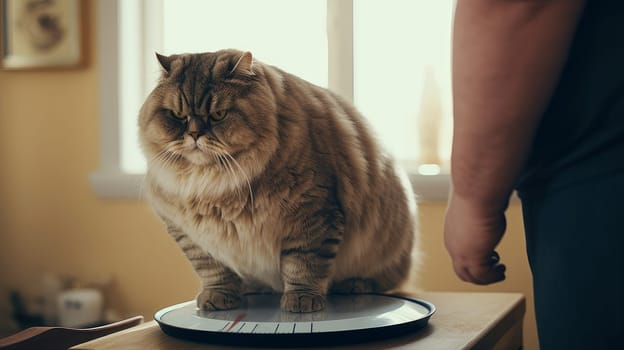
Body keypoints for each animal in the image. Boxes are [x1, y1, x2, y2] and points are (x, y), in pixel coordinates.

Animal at [139, 48, 416, 312]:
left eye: (218, 114)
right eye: (177, 115)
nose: (194, 134)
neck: (213, 185)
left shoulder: (312, 217)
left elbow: (303, 266)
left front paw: (301, 301)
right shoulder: (194, 238)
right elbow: (214, 273)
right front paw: (218, 298)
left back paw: (354, 285)